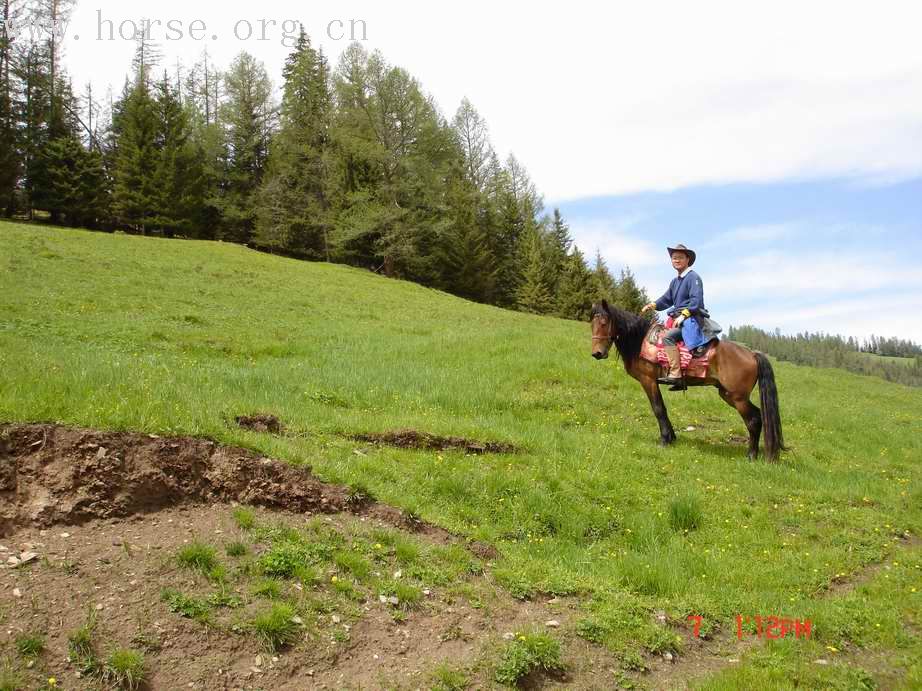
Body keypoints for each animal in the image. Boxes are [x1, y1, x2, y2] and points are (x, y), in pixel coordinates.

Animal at [588, 300, 784, 462]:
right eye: (592, 324)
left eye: (604, 323)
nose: (597, 353)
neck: (640, 342)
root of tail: (752, 354)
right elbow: (663, 408)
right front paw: (672, 438)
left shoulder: (648, 380)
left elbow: (658, 409)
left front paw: (664, 440)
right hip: (728, 394)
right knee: (757, 416)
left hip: (737, 397)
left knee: (753, 420)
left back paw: (751, 455)